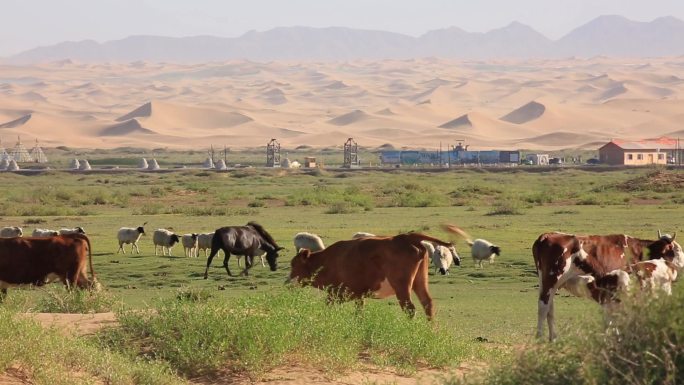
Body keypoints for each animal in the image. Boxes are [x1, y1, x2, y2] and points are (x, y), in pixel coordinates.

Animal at [288, 231, 454, 318]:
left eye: (293, 265)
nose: (287, 282)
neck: (329, 261)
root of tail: (406, 237)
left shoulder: (336, 294)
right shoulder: (357, 296)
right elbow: (359, 313)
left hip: (402, 287)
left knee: (410, 309)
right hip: (420, 281)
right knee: (427, 304)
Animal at [536, 230, 684, 340]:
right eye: (677, 251)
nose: (682, 266)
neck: (637, 251)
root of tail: (547, 235)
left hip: (547, 283)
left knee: (550, 308)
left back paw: (553, 338)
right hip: (551, 280)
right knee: (543, 307)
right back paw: (540, 338)